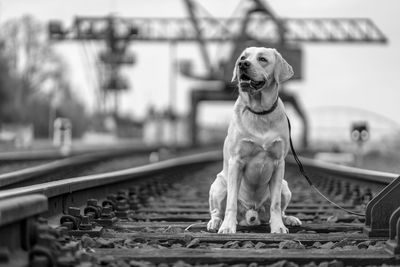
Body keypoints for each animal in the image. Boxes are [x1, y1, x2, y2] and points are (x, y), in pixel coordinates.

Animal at [208, 46, 302, 234]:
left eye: (262, 59)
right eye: (243, 57)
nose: (242, 64)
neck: (260, 112)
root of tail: (251, 214)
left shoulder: (279, 163)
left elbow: (275, 204)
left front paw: (278, 227)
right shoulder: (236, 161)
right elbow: (231, 203)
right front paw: (227, 227)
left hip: (285, 186)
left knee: (279, 209)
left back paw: (288, 219)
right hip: (219, 185)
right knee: (217, 210)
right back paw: (216, 222)